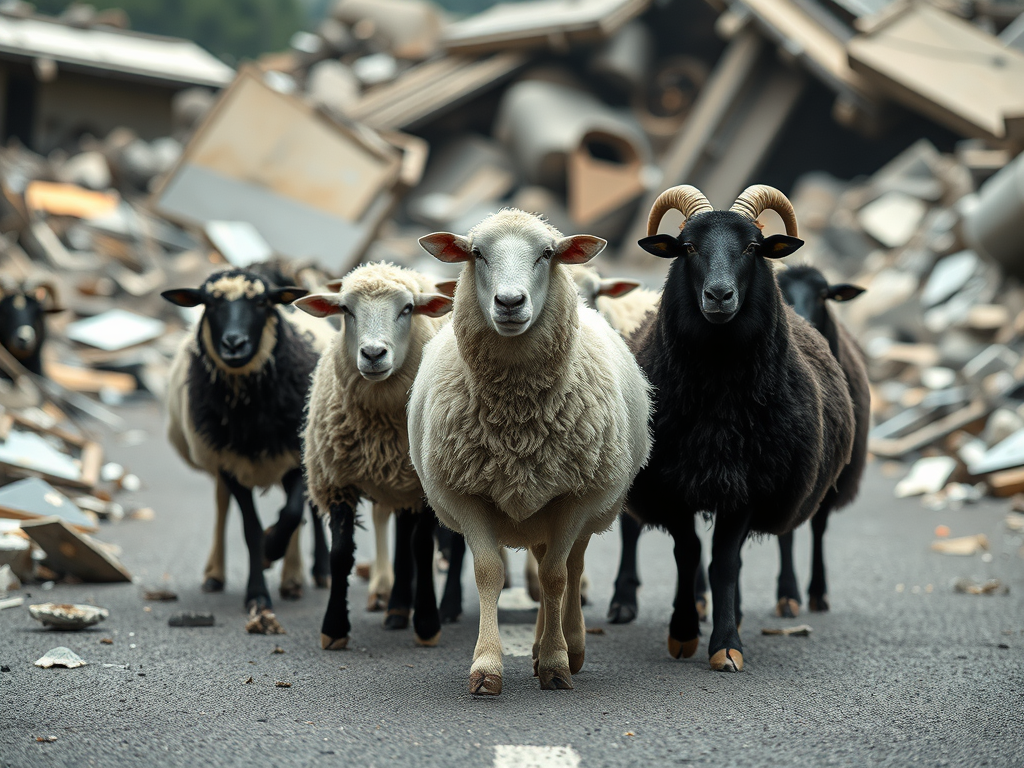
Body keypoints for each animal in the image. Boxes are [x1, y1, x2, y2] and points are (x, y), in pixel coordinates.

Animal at [163, 269, 331, 616]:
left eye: (261, 302)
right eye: (210, 303)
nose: (234, 343)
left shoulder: (294, 457)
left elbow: (292, 513)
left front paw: (272, 549)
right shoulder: (228, 463)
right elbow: (250, 529)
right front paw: (258, 592)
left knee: (307, 507)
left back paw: (311, 572)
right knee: (221, 505)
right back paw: (216, 574)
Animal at [290, 263, 455, 650]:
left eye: (408, 308)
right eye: (345, 310)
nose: (373, 354)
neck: (381, 427)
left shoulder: (428, 486)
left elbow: (422, 547)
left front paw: (427, 624)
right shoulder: (337, 481)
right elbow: (340, 553)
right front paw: (334, 628)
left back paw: (445, 607)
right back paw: (396, 609)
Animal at [410, 209, 652, 695]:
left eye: (547, 253)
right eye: (476, 253)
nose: (509, 302)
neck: (517, 415)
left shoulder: (573, 497)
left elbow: (557, 577)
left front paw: (558, 663)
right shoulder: (467, 495)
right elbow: (489, 573)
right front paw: (487, 667)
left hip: (586, 506)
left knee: (568, 567)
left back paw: (567, 646)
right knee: (543, 565)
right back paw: (539, 647)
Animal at [628, 185, 855, 672]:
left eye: (753, 248)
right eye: (688, 248)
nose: (718, 295)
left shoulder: (749, 484)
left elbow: (724, 565)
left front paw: (726, 644)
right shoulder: (670, 483)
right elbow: (688, 554)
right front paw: (683, 633)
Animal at [774, 265, 869, 617]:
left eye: (824, 295)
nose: (806, 327)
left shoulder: (833, 476)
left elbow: (818, 529)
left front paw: (818, 592)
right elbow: (785, 535)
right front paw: (788, 595)